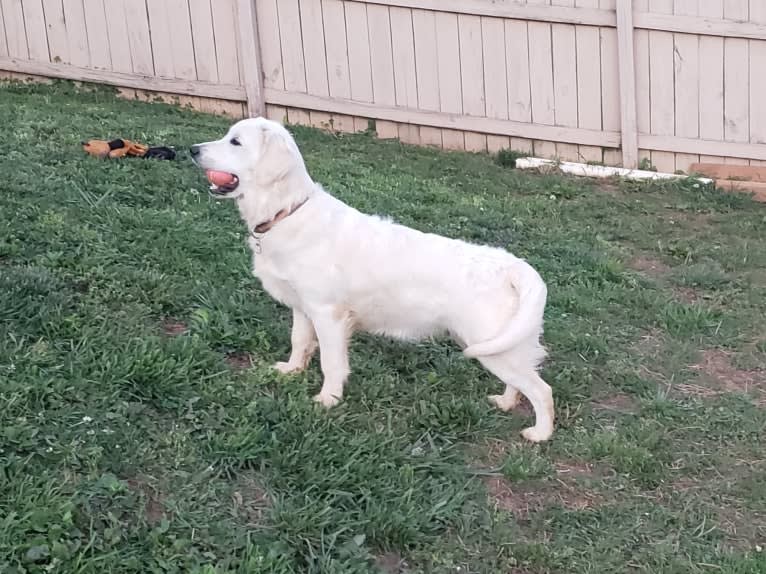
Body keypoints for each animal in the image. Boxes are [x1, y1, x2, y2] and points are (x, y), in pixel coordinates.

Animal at [190, 117, 556, 440]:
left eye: (236, 142)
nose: (192, 149)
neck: (287, 211)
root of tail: (513, 266)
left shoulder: (328, 314)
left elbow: (331, 363)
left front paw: (328, 400)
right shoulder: (303, 308)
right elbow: (299, 342)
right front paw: (291, 371)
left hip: (494, 346)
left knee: (543, 391)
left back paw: (540, 434)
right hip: (503, 347)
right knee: (521, 383)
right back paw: (505, 403)